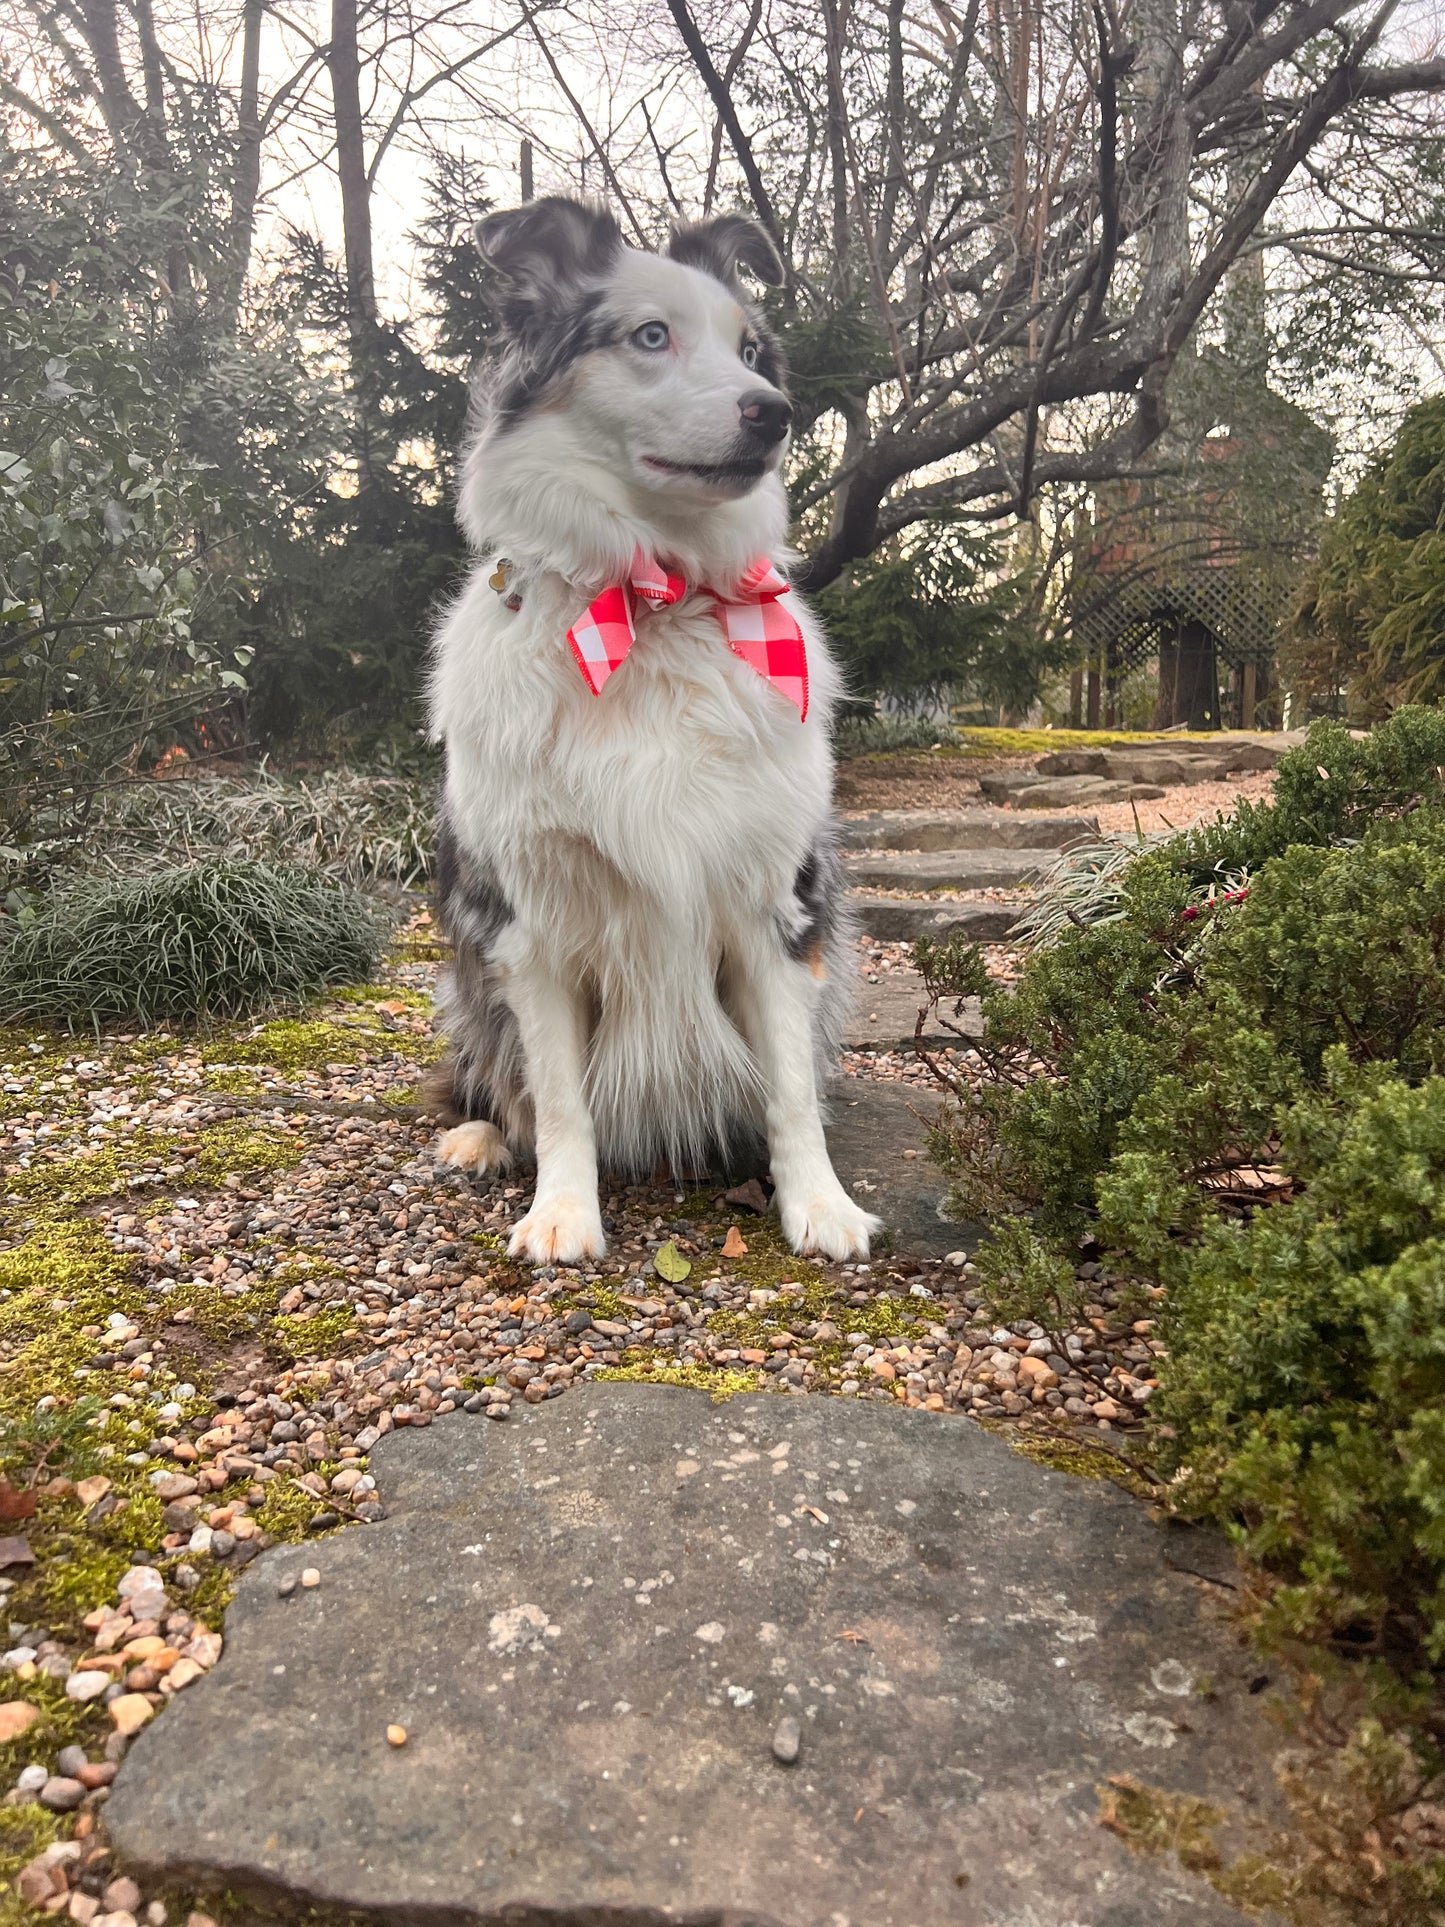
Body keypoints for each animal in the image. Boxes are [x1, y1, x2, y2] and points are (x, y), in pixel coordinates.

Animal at [427, 195, 882, 1271]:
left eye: (751, 348)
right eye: (648, 336)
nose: (773, 410)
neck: (653, 603)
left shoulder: (775, 903)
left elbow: (790, 1087)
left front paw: (818, 1204)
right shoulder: (529, 921)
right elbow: (558, 1098)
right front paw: (563, 1211)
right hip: (464, 976)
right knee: (487, 1074)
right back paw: (477, 1136)